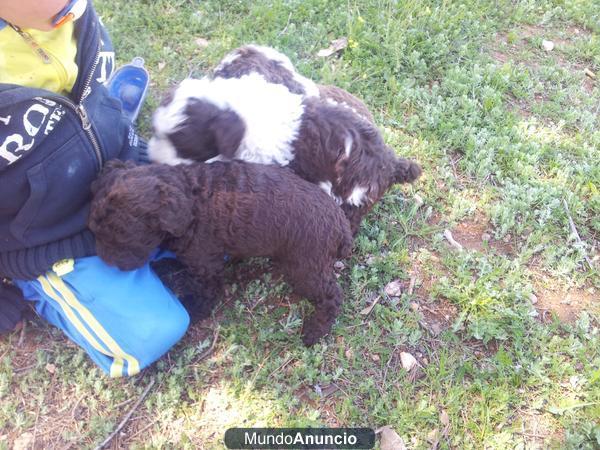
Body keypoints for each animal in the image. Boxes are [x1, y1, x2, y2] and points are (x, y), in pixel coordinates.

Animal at [88, 160, 352, 346]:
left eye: (124, 239)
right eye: (94, 231)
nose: (106, 262)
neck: (188, 198)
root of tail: (341, 224)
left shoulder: (205, 265)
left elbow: (205, 291)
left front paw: (192, 309)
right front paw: (164, 266)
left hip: (304, 268)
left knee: (332, 296)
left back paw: (315, 331)